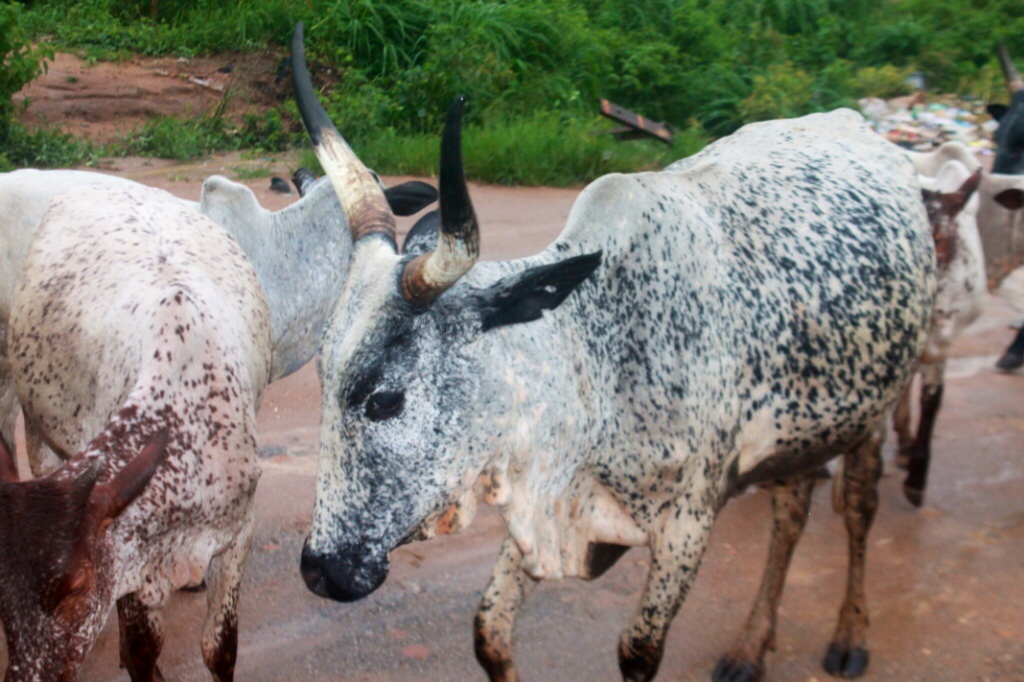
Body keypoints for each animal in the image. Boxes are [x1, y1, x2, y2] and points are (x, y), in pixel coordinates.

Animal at [1, 183, 272, 681]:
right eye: (2, 595)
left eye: (75, 588)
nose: (27, 677)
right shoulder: (133, 562)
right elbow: (144, 647)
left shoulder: (238, 533)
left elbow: (220, 647)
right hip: (35, 420)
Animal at [288, 23, 935, 682]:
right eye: (324, 380)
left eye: (385, 399)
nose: (320, 570)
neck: (598, 365)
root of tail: (856, 123)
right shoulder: (541, 514)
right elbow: (489, 632)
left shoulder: (686, 528)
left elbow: (637, 651)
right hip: (801, 438)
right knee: (791, 514)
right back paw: (750, 646)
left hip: (873, 413)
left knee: (857, 508)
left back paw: (850, 634)